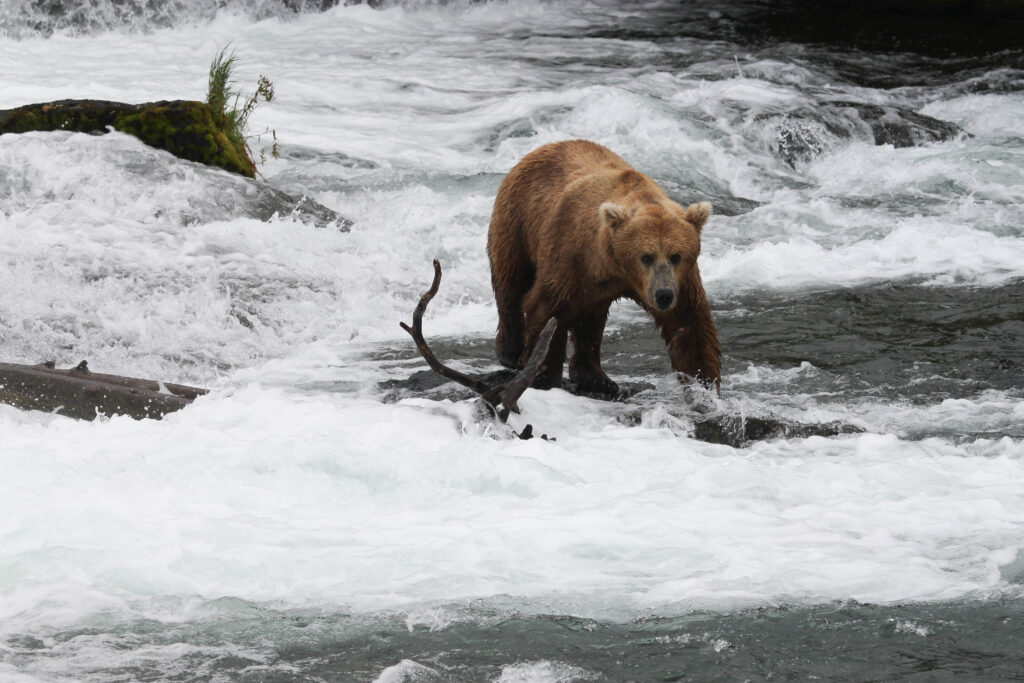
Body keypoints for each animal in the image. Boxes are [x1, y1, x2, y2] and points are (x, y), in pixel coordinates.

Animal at [487, 139, 721, 395]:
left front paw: (704, 384)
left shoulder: (681, 279)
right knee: (510, 285)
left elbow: (689, 323)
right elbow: (546, 308)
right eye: (646, 257)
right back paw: (511, 352)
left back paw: (597, 377)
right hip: (517, 222)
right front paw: (542, 375)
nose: (664, 295)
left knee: (591, 319)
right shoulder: (570, 254)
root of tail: (541, 148)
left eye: (676, 256)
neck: (614, 266)